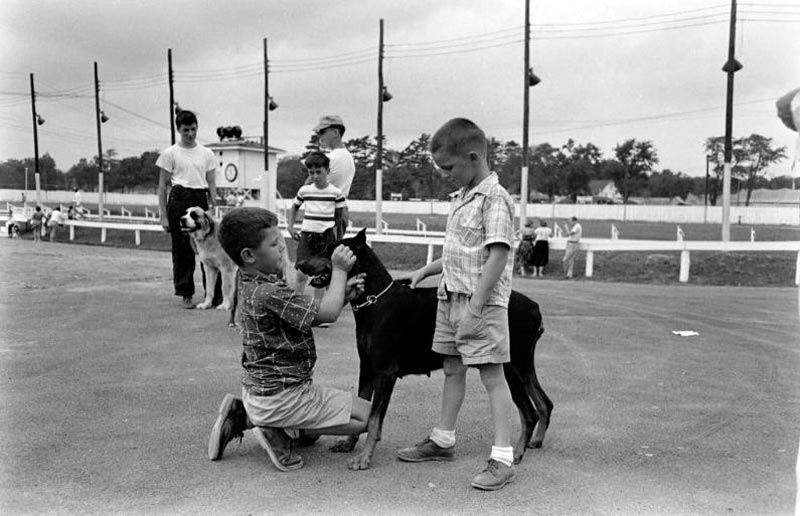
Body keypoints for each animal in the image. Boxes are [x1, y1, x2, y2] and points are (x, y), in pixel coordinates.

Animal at [300, 230, 552, 472]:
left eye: (330, 250)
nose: (300, 263)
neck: (374, 300)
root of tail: (536, 308)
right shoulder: (368, 368)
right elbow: (363, 406)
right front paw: (348, 444)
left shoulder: (385, 371)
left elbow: (373, 419)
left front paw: (364, 458)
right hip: (524, 365)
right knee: (544, 403)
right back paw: (535, 441)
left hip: (510, 366)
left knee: (528, 412)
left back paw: (516, 454)